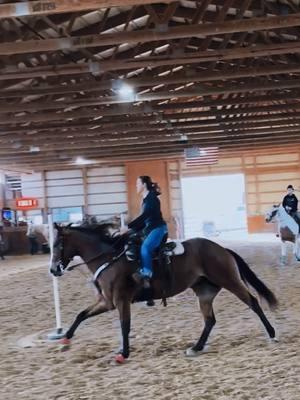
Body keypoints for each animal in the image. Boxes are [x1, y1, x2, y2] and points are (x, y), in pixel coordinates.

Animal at [49, 223, 278, 364]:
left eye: (58, 244)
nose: (53, 270)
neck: (109, 259)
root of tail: (221, 249)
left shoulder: (121, 300)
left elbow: (125, 326)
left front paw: (123, 354)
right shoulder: (107, 301)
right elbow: (81, 315)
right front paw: (65, 340)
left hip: (229, 281)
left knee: (253, 302)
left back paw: (272, 334)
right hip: (204, 292)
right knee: (210, 320)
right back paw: (196, 347)